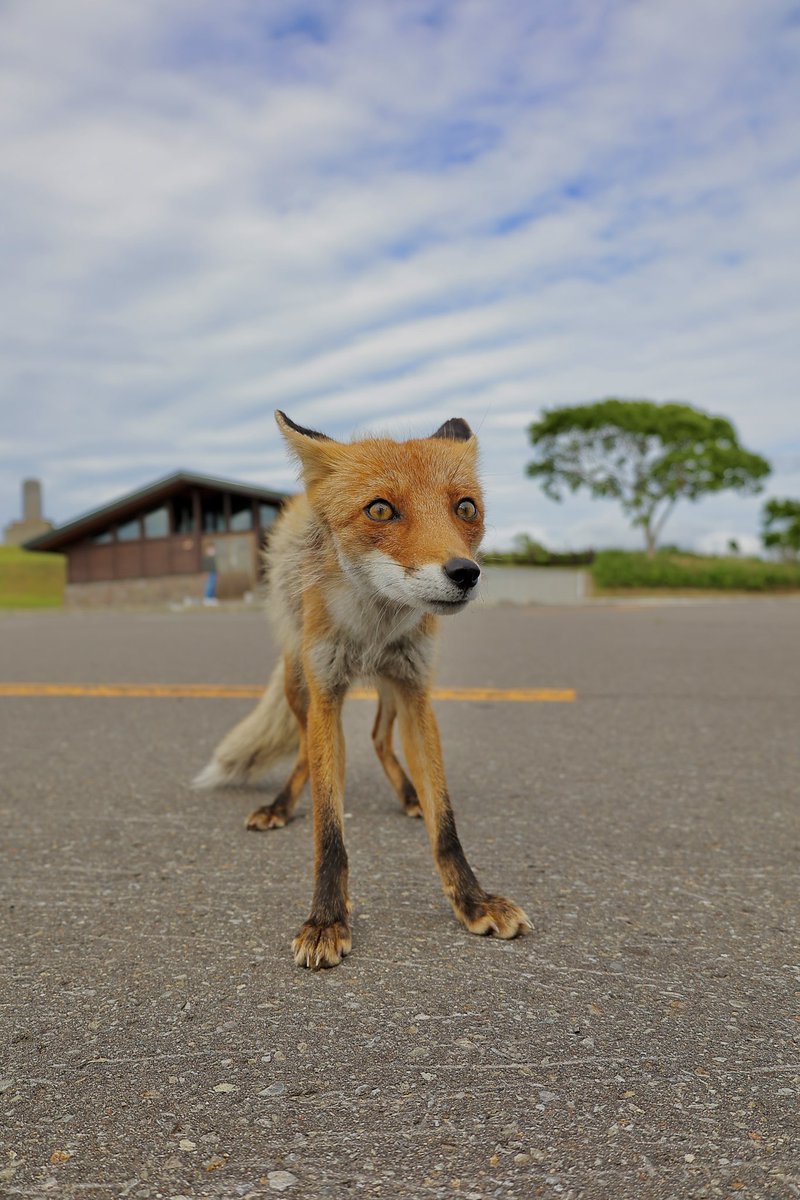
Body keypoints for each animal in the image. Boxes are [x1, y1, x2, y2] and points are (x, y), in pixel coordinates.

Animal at [194, 411, 531, 968]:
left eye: (465, 508)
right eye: (380, 509)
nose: (465, 573)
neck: (374, 629)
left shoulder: (416, 691)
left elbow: (446, 823)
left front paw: (472, 899)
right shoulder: (327, 692)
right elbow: (329, 829)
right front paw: (327, 919)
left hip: (391, 687)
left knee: (377, 737)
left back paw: (409, 794)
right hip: (299, 681)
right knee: (305, 751)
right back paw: (281, 805)